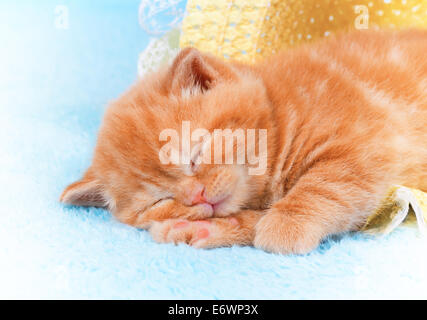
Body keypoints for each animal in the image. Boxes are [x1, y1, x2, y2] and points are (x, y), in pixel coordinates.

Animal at [61, 30, 427, 255]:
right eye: (158, 201)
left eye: (194, 155)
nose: (198, 196)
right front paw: (213, 227)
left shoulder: (368, 137)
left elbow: (327, 183)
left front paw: (288, 222)